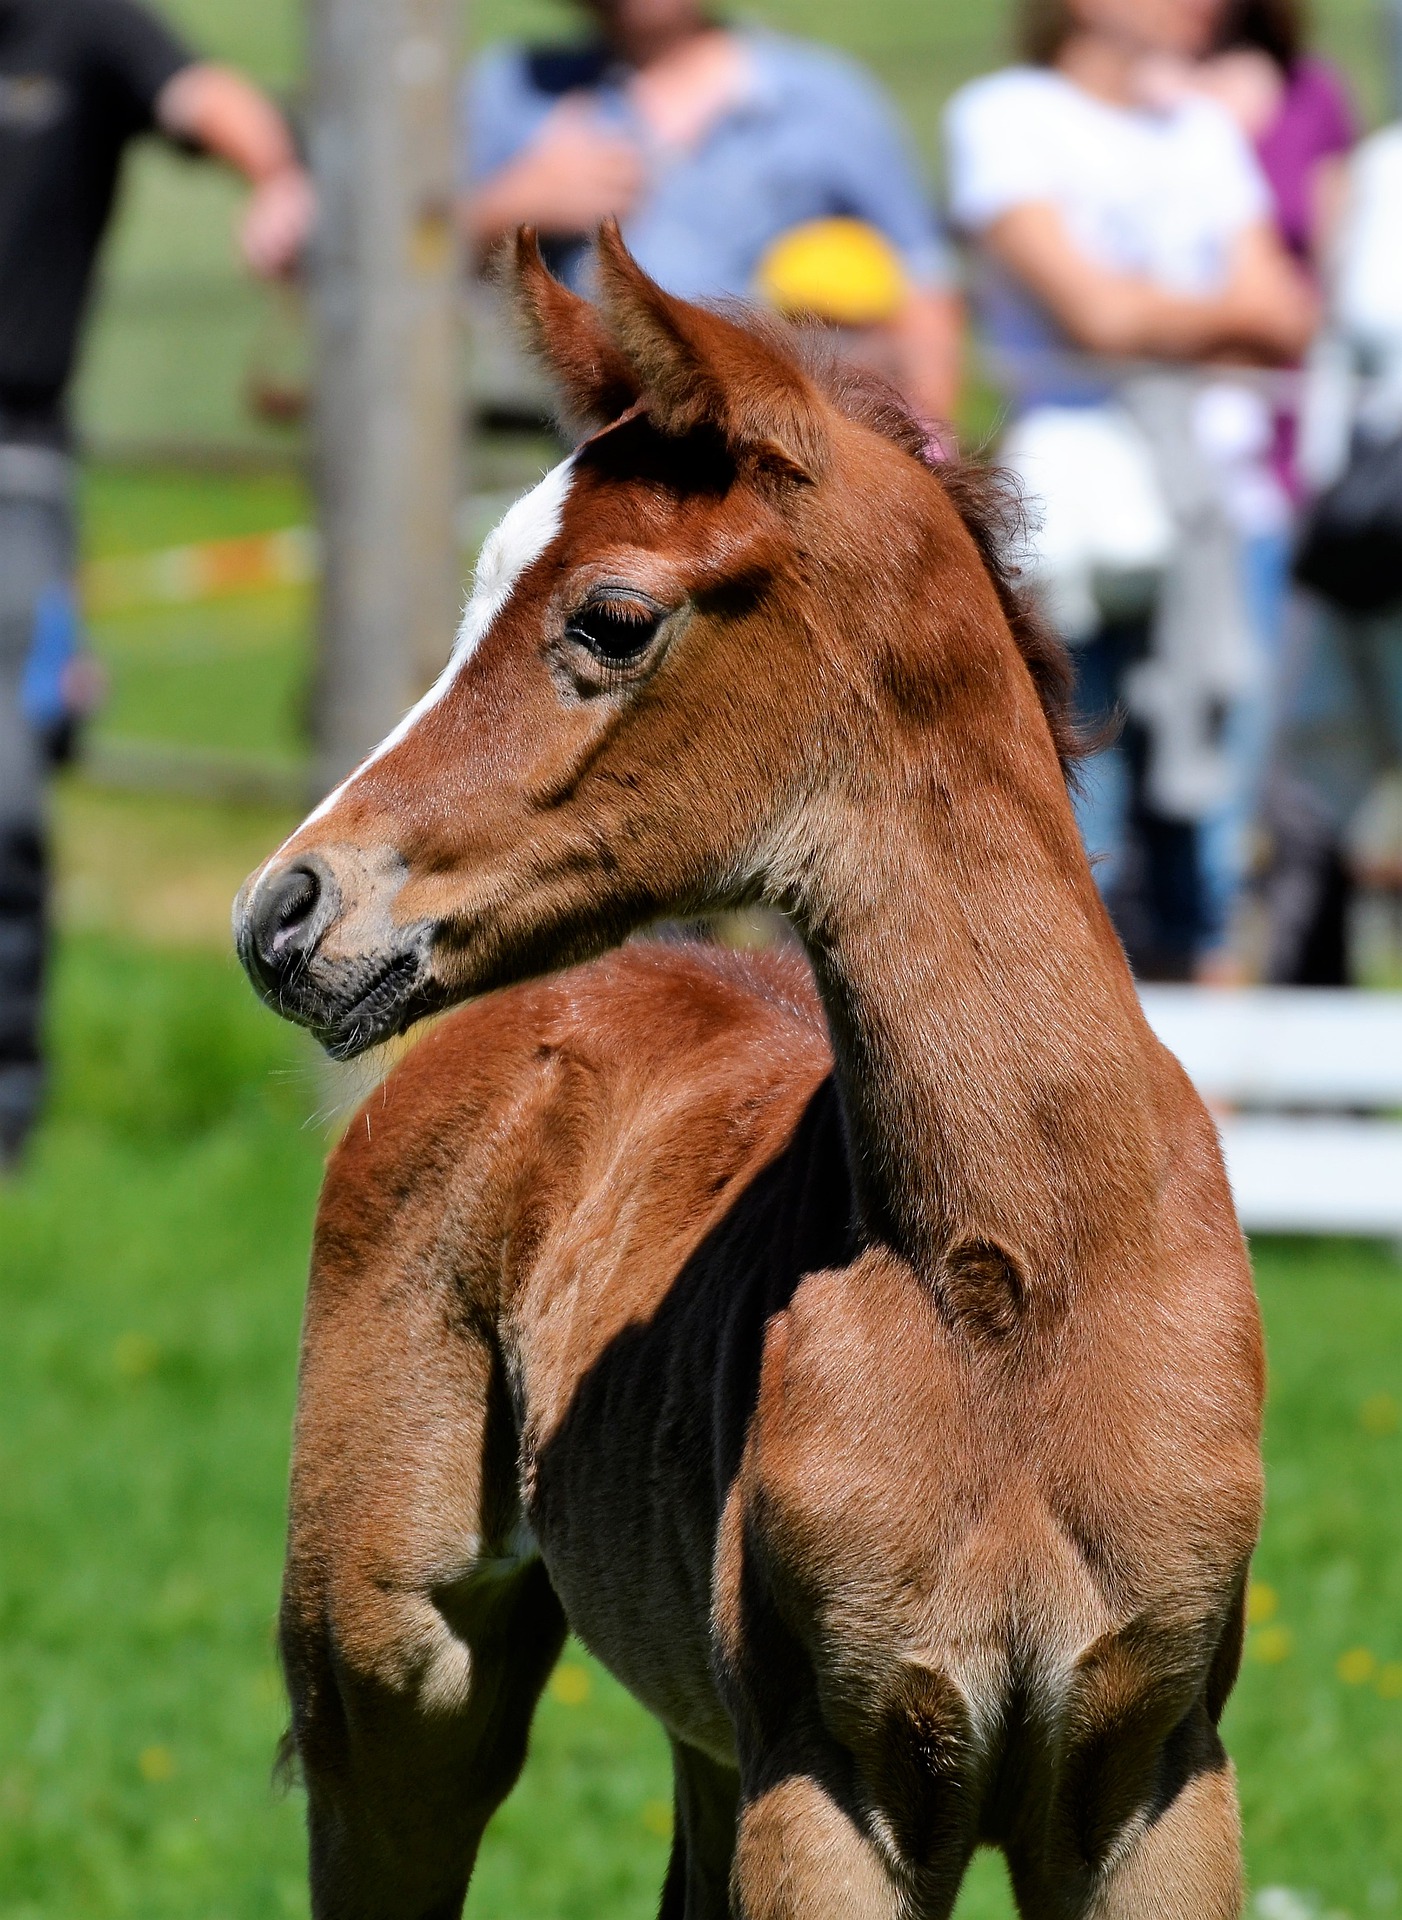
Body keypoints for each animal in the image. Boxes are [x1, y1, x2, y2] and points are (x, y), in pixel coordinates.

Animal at [233, 223, 1263, 1920]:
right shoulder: (828, 1772)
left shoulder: (1157, 1772)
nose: (282, 914)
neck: (1026, 1274)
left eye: (608, 618)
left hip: (690, 1744)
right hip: (393, 1676)